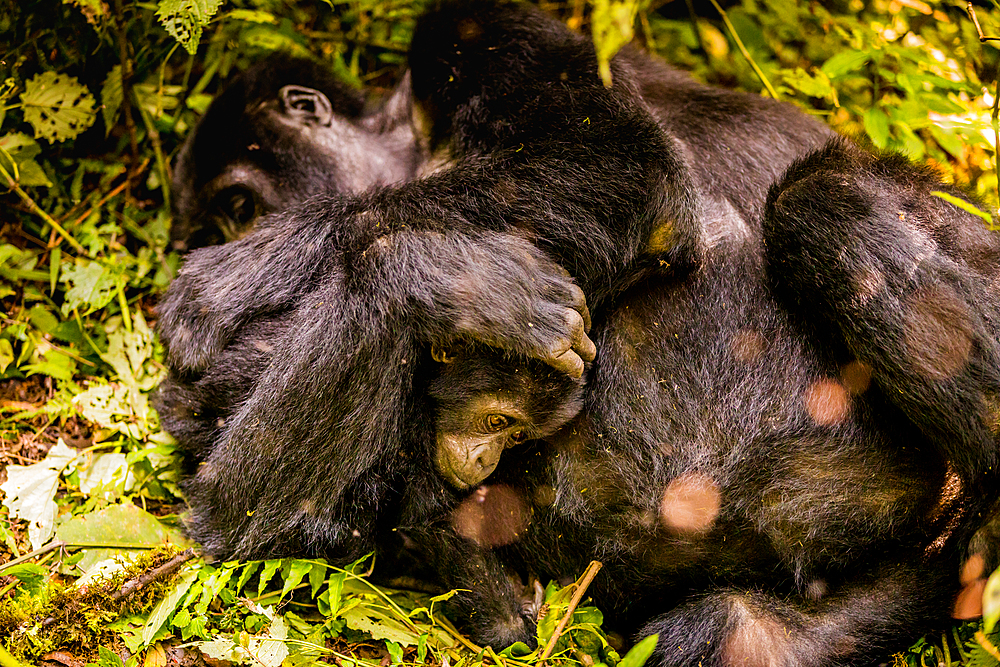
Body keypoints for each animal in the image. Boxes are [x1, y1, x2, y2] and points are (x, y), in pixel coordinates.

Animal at [156, 2, 1000, 664]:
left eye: (239, 207)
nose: (239, 234)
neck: (410, 144)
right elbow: (251, 516)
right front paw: (437, 277)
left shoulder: (470, 30)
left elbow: (617, 161)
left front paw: (258, 266)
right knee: (728, 631)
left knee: (821, 202)